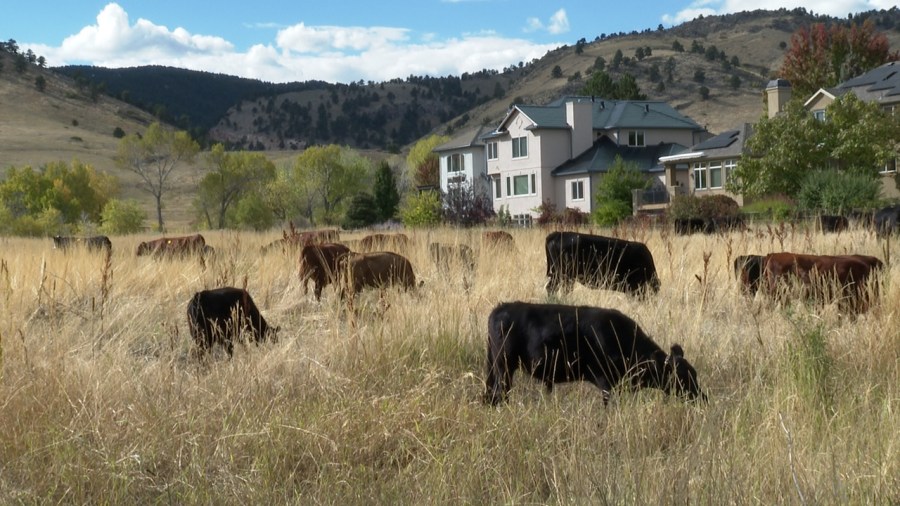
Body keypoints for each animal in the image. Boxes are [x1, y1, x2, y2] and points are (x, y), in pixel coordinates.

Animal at [483, 301, 705, 406]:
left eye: (695, 373)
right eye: (683, 376)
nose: (702, 397)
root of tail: (500, 308)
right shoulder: (605, 381)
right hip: (504, 368)